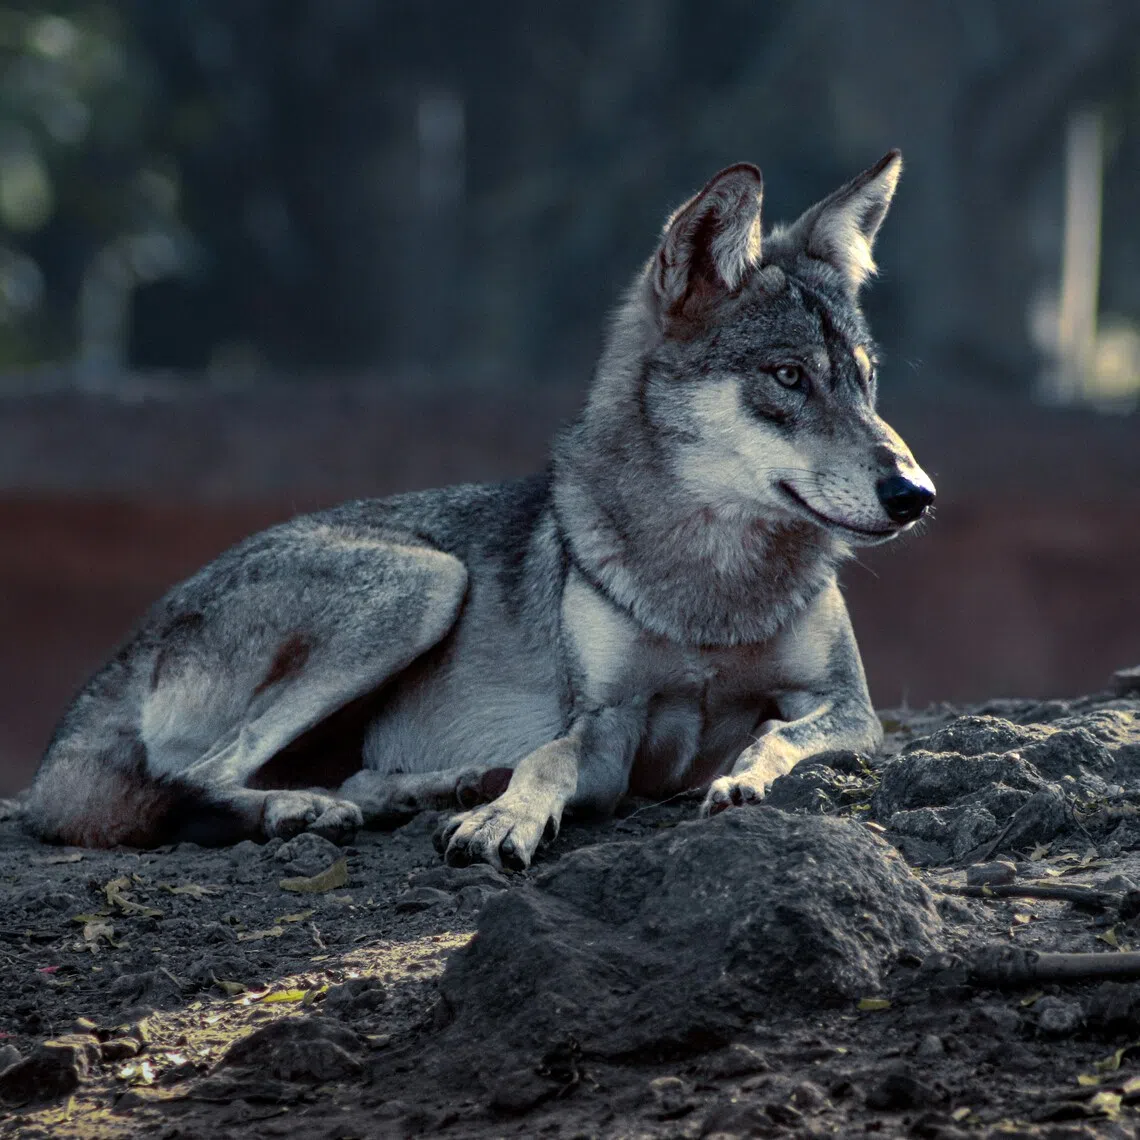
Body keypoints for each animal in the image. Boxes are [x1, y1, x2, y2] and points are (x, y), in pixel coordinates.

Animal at [25, 150, 933, 870]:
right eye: (788, 377)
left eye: (865, 380)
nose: (915, 495)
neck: (710, 588)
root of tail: (122, 658)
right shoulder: (605, 727)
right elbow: (549, 762)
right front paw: (505, 818)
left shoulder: (846, 707)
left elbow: (775, 734)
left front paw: (740, 774)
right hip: (425, 582)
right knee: (195, 776)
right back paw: (314, 808)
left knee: (322, 772)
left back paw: (427, 787)